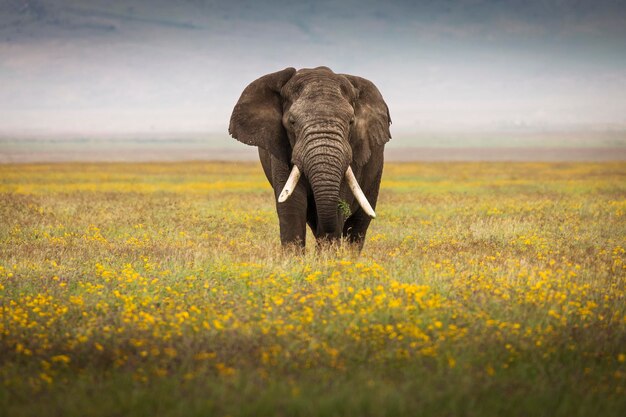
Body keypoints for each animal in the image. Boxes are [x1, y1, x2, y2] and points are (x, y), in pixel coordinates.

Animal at [227, 66, 388, 249]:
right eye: (292, 122)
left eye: (351, 122)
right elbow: (292, 205)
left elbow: (339, 203)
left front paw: (327, 255)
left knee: (358, 224)